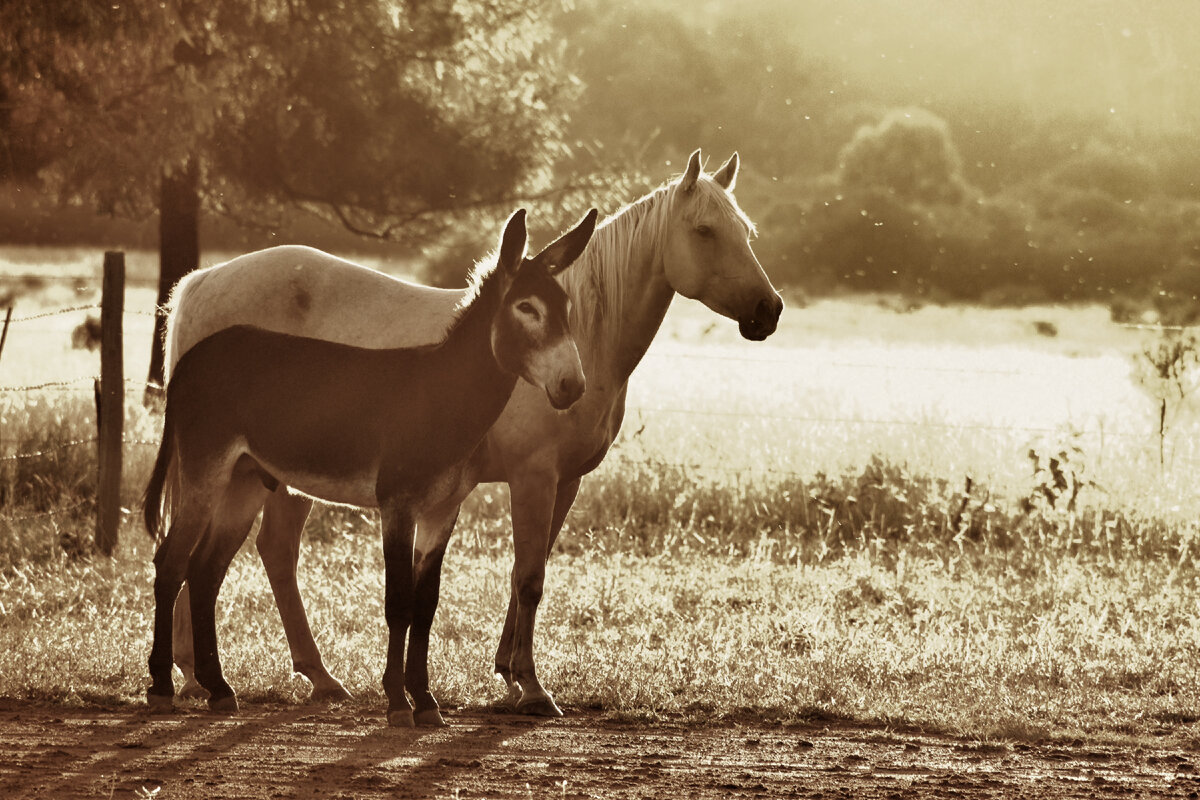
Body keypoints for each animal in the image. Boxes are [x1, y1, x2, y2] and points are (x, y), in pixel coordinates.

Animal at [162, 148, 777, 714]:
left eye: (746, 232)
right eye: (704, 230)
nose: (768, 311)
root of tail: (202, 281)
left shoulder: (564, 482)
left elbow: (527, 571)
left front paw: (506, 671)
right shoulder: (532, 478)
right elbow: (528, 577)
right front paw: (530, 687)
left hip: (272, 473)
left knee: (262, 552)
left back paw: (291, 676)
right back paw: (197, 676)